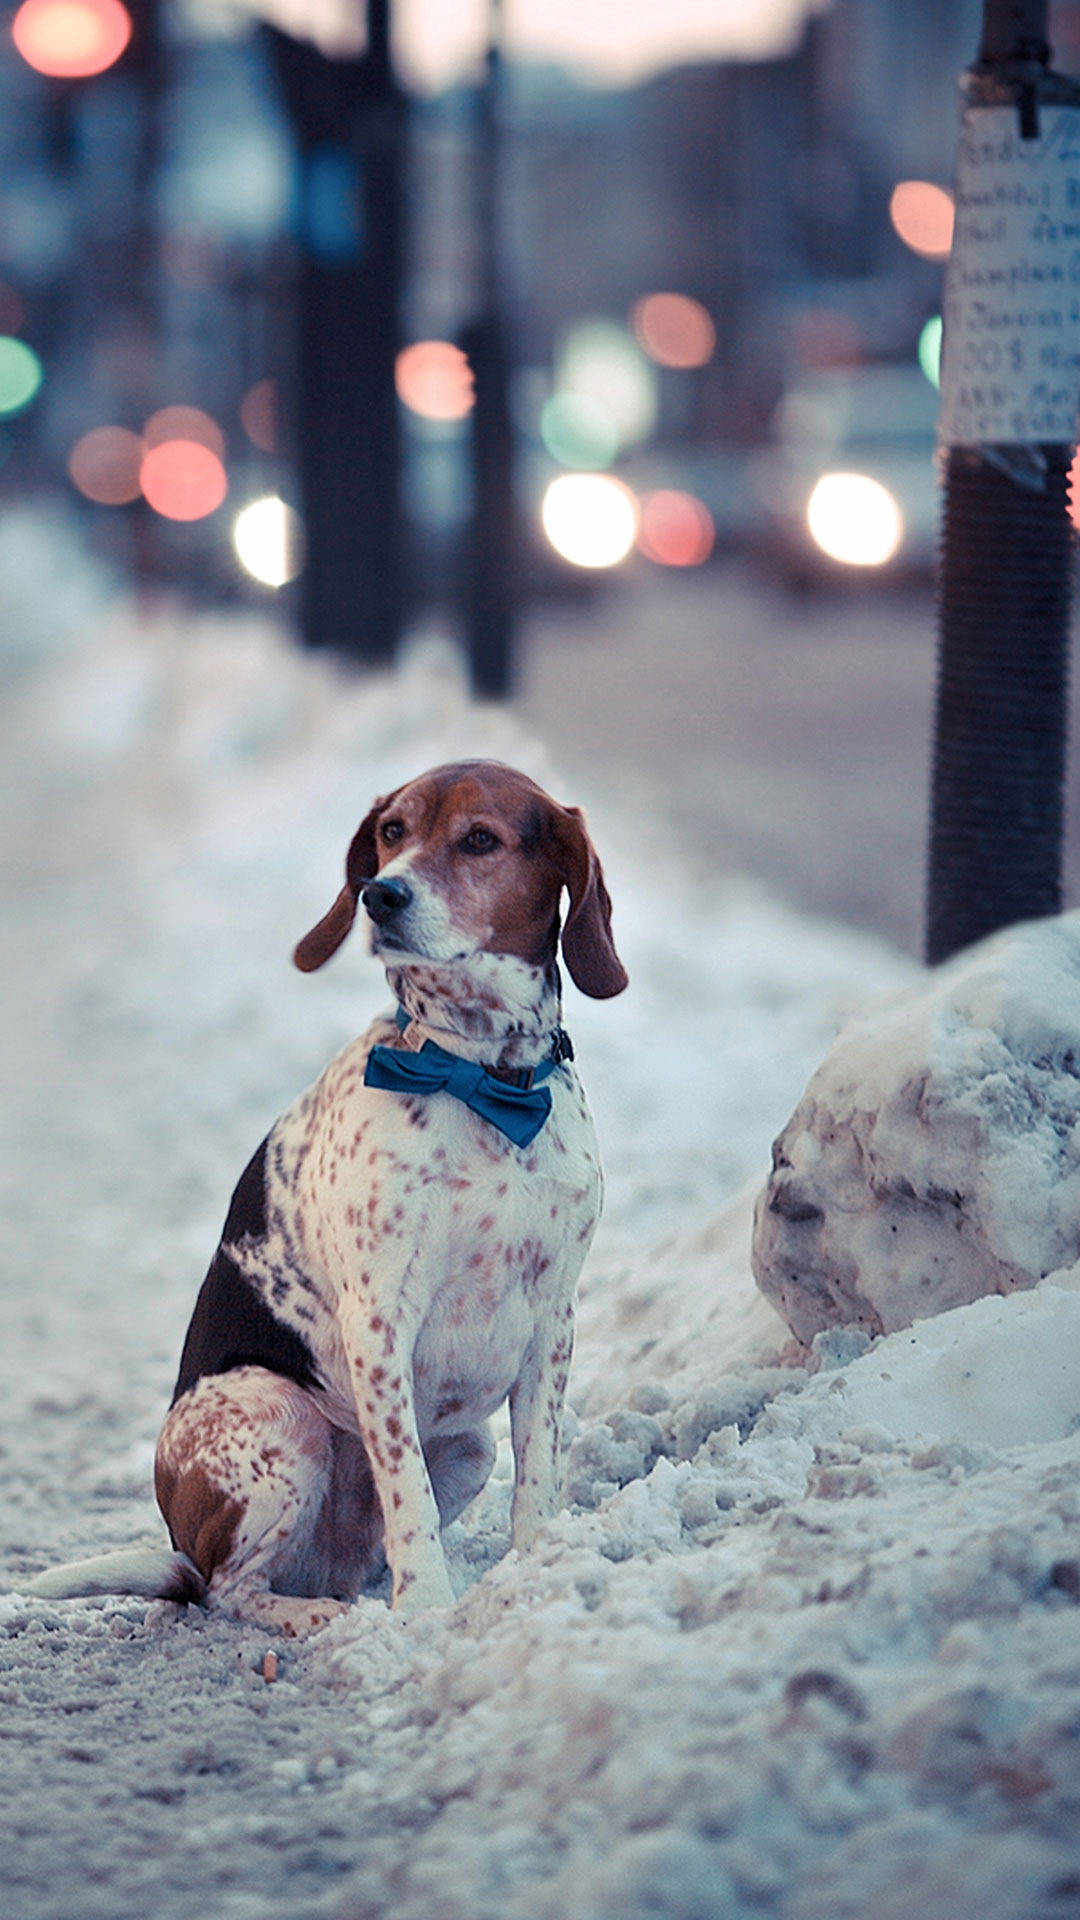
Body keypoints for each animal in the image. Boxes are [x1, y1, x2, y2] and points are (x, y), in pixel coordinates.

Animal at [21, 764, 626, 1635]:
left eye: (480, 838)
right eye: (392, 832)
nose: (381, 895)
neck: (478, 1074)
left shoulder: (553, 1318)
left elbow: (537, 1472)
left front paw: (536, 1571)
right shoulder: (379, 1321)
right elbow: (404, 1485)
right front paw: (428, 1610)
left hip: (468, 1446)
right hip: (281, 1419)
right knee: (229, 1591)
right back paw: (324, 1619)